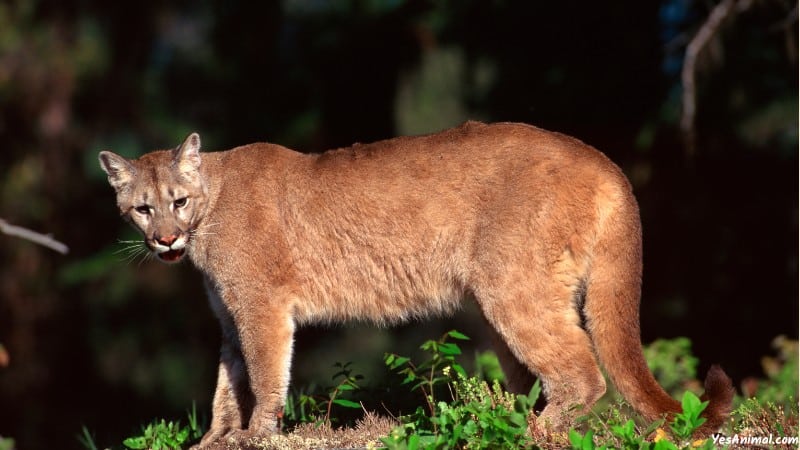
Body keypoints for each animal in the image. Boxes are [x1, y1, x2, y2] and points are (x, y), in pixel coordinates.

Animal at [98, 121, 732, 448]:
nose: (165, 241)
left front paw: (257, 434)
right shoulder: (231, 317)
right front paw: (217, 438)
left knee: (584, 372)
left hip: (513, 288)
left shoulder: (261, 308)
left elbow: (263, 374)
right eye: (141, 209)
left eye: (178, 202)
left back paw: (528, 432)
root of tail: (605, 160)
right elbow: (227, 381)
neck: (211, 203)